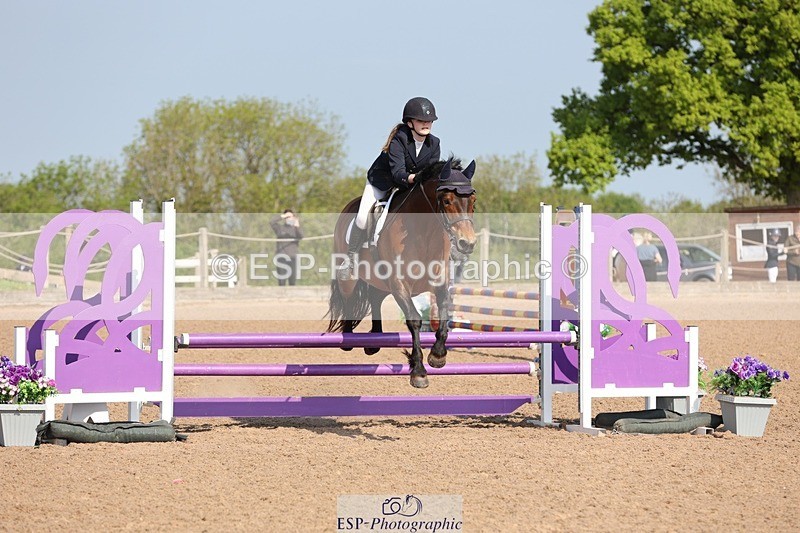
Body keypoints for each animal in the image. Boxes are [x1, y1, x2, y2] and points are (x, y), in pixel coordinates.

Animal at [327, 158, 477, 388]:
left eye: (473, 201)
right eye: (447, 200)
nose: (467, 243)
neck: (424, 231)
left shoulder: (440, 282)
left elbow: (444, 312)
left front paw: (438, 355)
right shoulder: (399, 284)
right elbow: (414, 319)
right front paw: (419, 372)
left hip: (380, 281)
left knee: (375, 297)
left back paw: (374, 341)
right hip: (350, 277)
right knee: (348, 298)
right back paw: (348, 338)